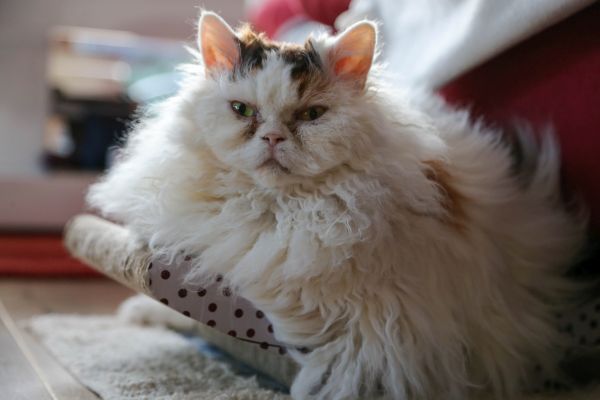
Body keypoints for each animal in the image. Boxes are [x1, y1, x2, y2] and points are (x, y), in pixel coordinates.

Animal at [89, 11, 584, 400]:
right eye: (242, 111)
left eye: (311, 116)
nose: (273, 138)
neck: (277, 209)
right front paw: (150, 312)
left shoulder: (393, 319)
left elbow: (352, 361)